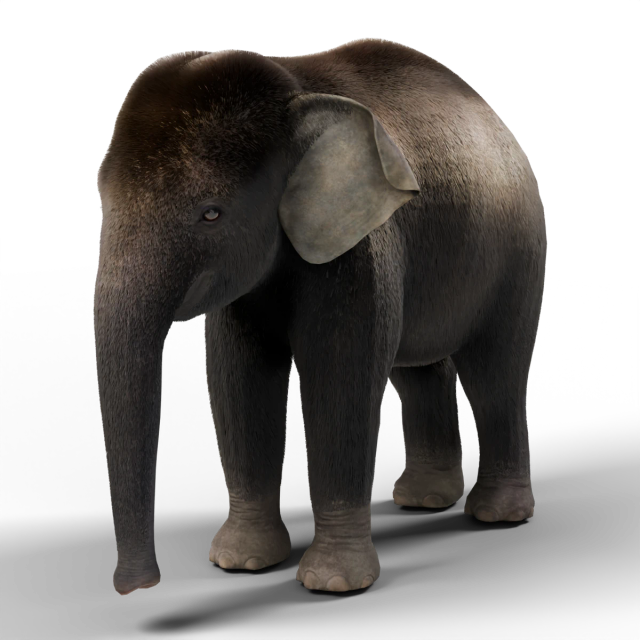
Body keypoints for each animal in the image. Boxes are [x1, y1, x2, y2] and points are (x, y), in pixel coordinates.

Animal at [94, 37, 546, 596]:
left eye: (211, 213)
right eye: (101, 198)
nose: (140, 585)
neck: (295, 91)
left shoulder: (362, 250)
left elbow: (339, 381)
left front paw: (330, 580)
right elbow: (238, 382)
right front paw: (240, 561)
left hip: (517, 251)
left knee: (493, 376)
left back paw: (496, 512)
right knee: (417, 374)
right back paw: (423, 498)